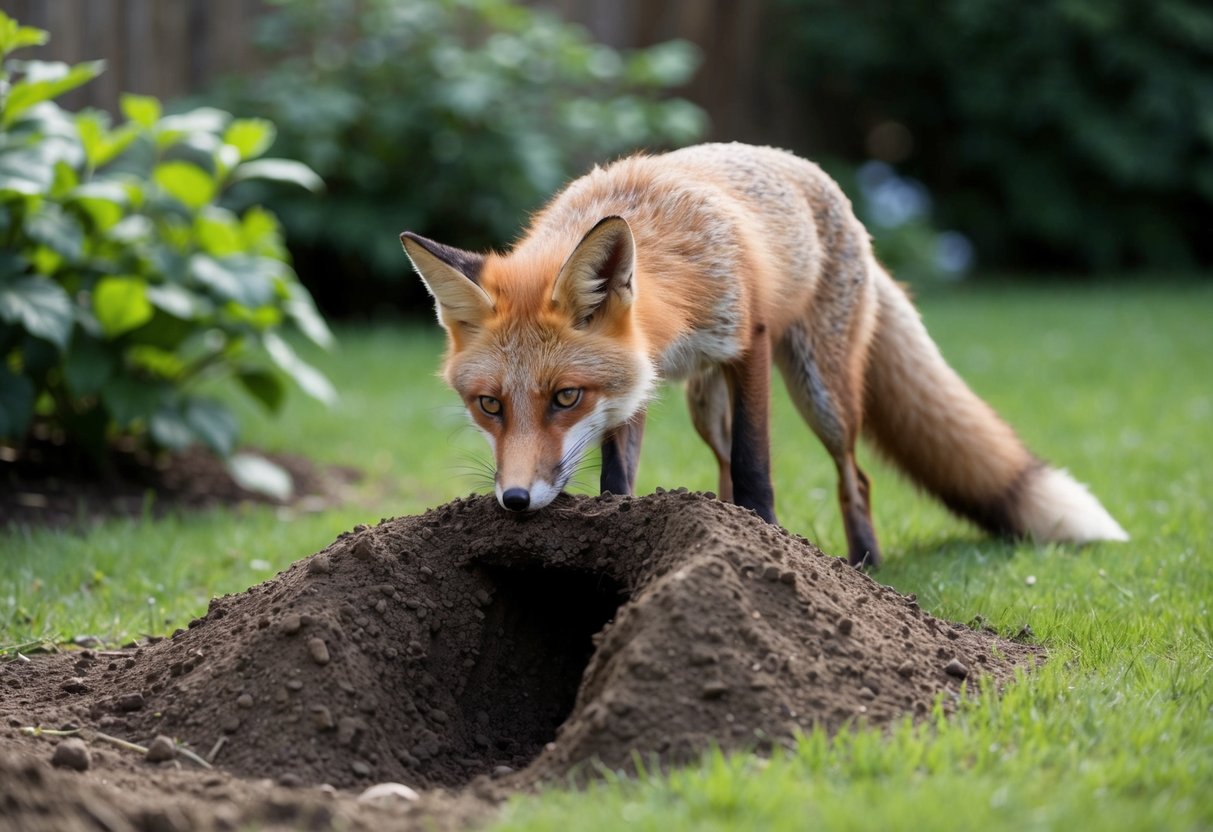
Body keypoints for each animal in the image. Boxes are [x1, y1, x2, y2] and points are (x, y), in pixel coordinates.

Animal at [401, 142, 1127, 568]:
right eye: (489, 405)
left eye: (564, 397)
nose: (516, 500)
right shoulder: (635, 383)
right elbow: (619, 477)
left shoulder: (744, 342)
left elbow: (756, 469)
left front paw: (765, 545)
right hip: (704, 404)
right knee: (722, 470)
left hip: (819, 389)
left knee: (855, 477)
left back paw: (863, 564)